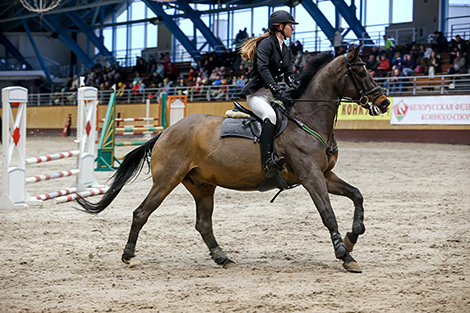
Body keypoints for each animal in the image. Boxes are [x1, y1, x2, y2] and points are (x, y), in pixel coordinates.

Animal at [79, 45, 392, 272]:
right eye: (360, 72)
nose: (384, 102)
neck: (307, 118)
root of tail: (166, 132)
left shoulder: (325, 175)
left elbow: (357, 194)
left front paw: (353, 237)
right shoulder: (311, 176)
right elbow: (328, 214)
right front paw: (344, 255)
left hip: (202, 186)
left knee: (203, 224)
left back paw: (222, 257)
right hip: (167, 180)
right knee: (141, 213)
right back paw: (129, 256)